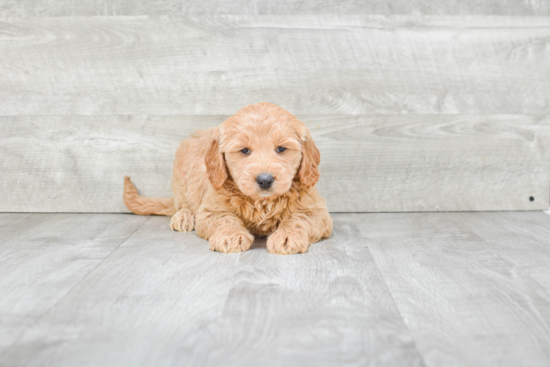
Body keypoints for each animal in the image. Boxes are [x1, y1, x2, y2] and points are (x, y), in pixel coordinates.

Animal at [123, 102, 334, 254]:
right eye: (244, 151)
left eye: (281, 149)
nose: (265, 180)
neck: (261, 202)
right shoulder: (211, 209)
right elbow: (225, 218)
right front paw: (231, 236)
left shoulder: (316, 210)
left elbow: (299, 218)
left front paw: (288, 236)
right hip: (181, 176)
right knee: (181, 204)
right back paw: (184, 216)